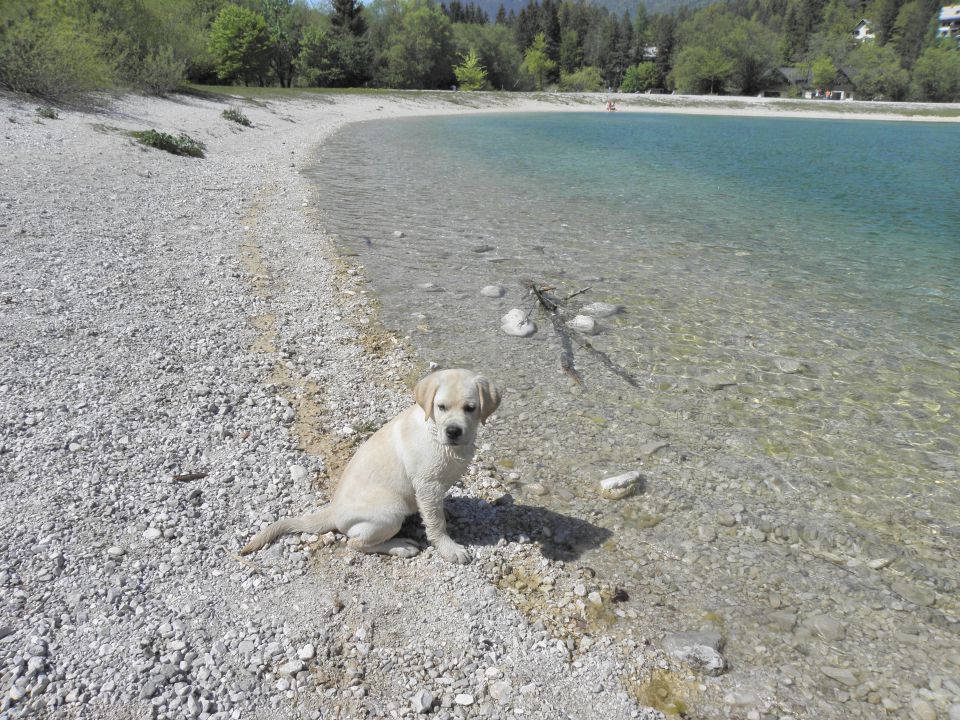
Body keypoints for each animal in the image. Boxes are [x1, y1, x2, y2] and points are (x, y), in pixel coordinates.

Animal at [238, 372, 502, 564]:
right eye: (441, 407)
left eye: (470, 408)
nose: (453, 431)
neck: (436, 432)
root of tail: (333, 511)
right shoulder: (427, 485)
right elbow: (436, 524)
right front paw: (449, 548)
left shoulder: (433, 489)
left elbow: (435, 511)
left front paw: (444, 512)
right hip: (390, 512)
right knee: (356, 543)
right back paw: (400, 546)